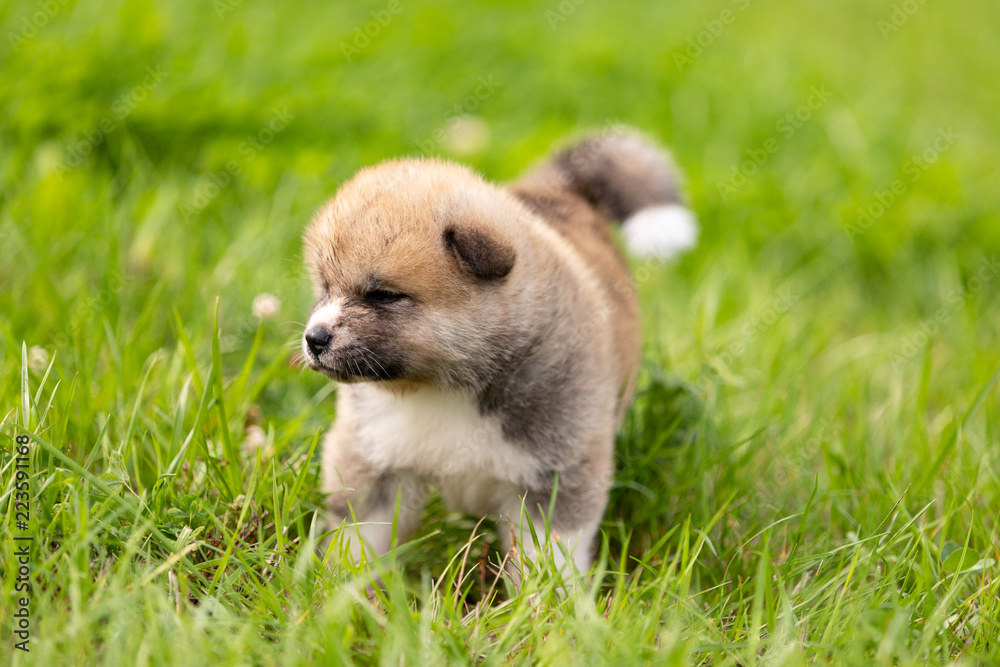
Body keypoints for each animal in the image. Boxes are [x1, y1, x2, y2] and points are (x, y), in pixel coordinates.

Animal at [300, 126, 700, 576]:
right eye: (325, 287)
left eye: (384, 295)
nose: (314, 339)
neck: (441, 388)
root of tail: (563, 189)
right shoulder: (373, 463)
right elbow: (360, 543)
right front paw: (345, 587)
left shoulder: (554, 476)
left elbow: (549, 559)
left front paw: (549, 597)